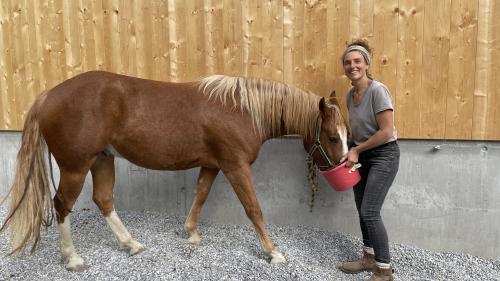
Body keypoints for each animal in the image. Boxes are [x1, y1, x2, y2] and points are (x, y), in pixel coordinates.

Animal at [0, 71, 350, 270]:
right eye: (333, 137)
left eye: (346, 135)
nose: (347, 167)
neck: (243, 109)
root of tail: (49, 95)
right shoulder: (235, 166)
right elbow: (253, 208)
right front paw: (273, 252)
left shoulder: (211, 164)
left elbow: (200, 194)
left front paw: (191, 233)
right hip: (75, 166)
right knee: (62, 205)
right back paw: (72, 258)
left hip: (102, 159)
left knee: (103, 199)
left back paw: (131, 244)